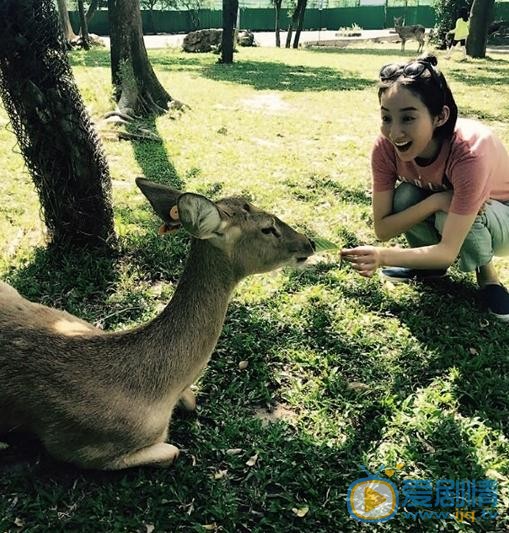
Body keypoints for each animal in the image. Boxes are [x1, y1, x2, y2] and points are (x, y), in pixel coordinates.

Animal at [0, 178, 314, 470]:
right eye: (267, 228)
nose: (308, 243)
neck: (159, 391)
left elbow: (192, 400)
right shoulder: (76, 448)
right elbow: (171, 451)